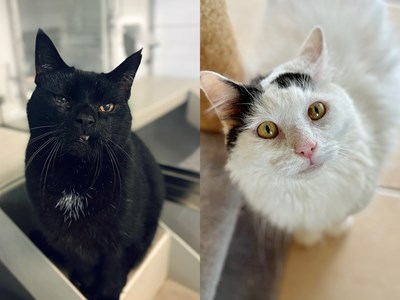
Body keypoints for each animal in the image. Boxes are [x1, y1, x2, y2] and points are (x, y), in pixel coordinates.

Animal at [24, 28, 164, 300]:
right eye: (61, 99)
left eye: (106, 106)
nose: (86, 119)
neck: (76, 175)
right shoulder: (67, 239)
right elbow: (85, 266)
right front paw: (86, 287)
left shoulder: (119, 241)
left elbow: (111, 273)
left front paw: (105, 293)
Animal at [202, 0, 400, 246]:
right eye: (267, 129)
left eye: (316, 110)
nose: (307, 148)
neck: (310, 194)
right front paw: (307, 238)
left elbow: (341, 216)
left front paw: (338, 229)